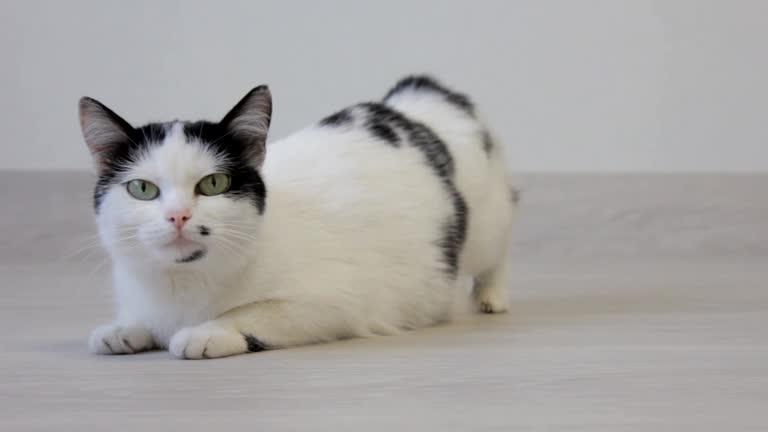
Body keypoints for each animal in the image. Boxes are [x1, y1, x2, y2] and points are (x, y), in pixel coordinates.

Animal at [79, 76, 516, 360]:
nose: (178, 216)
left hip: (486, 225)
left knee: (498, 247)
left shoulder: (336, 301)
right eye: (142, 189)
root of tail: (418, 100)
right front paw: (125, 328)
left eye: (214, 183)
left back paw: (492, 297)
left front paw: (209, 331)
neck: (182, 282)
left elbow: (253, 311)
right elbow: (142, 318)